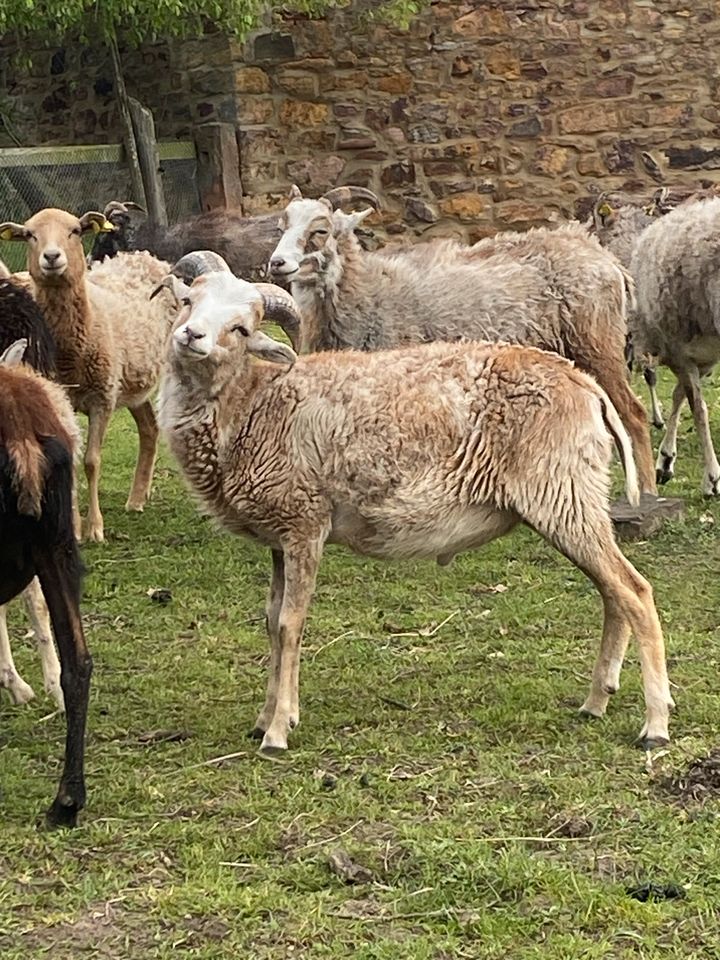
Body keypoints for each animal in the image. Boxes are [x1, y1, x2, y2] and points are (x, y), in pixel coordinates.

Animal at [2, 207, 176, 544]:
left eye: (74, 231)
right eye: (29, 235)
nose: (52, 257)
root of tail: (140, 255)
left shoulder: (102, 399)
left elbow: (92, 461)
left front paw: (95, 527)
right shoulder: (61, 397)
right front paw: (75, 526)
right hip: (131, 382)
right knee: (149, 427)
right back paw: (137, 496)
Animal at [155, 258, 672, 760]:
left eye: (241, 328)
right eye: (189, 302)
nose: (191, 336)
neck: (255, 404)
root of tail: (585, 385)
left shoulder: (304, 524)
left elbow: (289, 625)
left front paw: (278, 732)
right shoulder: (280, 537)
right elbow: (270, 621)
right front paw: (265, 718)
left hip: (563, 494)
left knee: (635, 592)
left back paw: (655, 725)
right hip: (576, 501)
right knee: (612, 594)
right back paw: (596, 701)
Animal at [268, 186, 660, 496]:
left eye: (320, 230)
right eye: (282, 227)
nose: (277, 263)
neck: (369, 290)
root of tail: (605, 258)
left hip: (597, 343)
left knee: (634, 413)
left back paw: (647, 490)